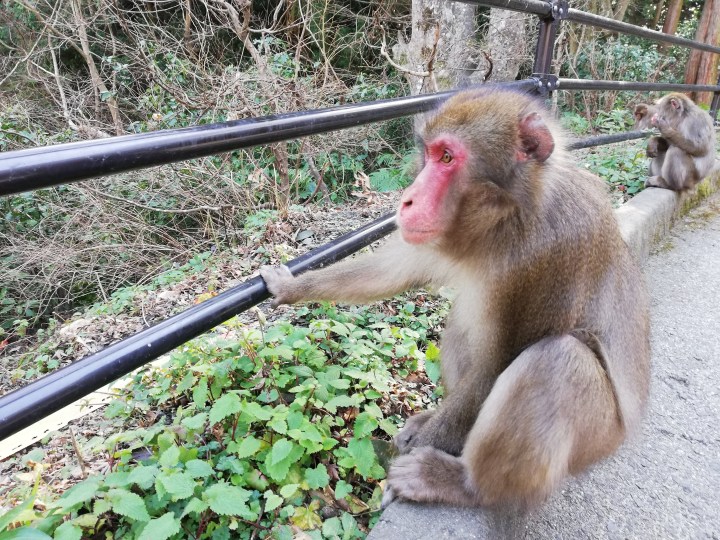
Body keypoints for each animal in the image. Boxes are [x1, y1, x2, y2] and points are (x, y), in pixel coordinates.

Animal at [260, 89, 650, 509]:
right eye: (431, 154)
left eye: (447, 157)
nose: (407, 200)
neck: (511, 216)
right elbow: (393, 271)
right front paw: (290, 286)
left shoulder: (547, 254)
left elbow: (495, 368)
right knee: (464, 323)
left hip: (597, 438)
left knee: (556, 359)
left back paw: (462, 483)